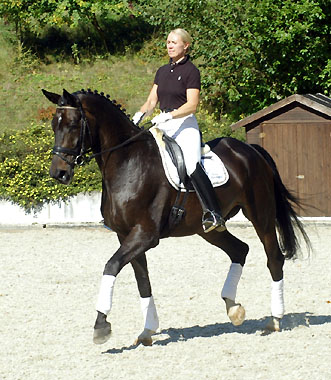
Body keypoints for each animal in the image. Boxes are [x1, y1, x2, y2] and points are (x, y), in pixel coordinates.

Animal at [42, 87, 312, 346]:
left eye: (73, 124)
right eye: (54, 125)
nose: (58, 173)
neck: (128, 162)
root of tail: (250, 150)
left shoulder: (145, 235)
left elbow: (111, 266)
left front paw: (101, 326)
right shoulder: (125, 235)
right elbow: (142, 281)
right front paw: (147, 330)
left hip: (261, 214)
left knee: (274, 258)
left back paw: (274, 320)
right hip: (209, 229)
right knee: (239, 250)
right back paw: (233, 308)